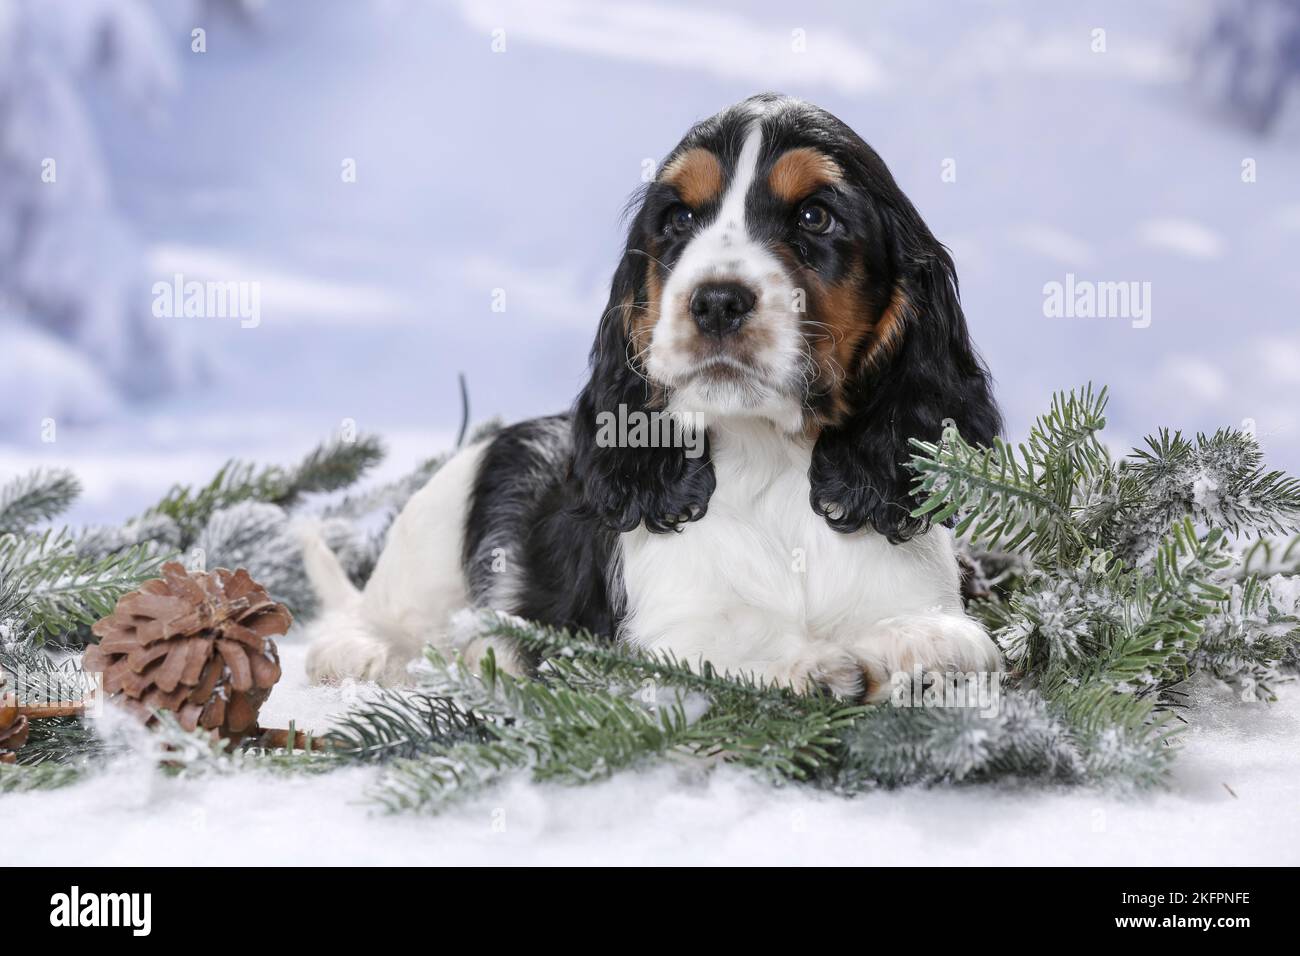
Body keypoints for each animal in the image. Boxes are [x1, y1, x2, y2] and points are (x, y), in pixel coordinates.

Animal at [306, 95, 1003, 702]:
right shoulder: (653, 635)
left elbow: (955, 639)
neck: (771, 458)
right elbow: (717, 642)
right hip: (429, 543)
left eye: (814, 216)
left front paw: (913, 642)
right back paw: (363, 654)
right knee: (370, 623)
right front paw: (809, 663)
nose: (716, 300)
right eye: (678, 220)